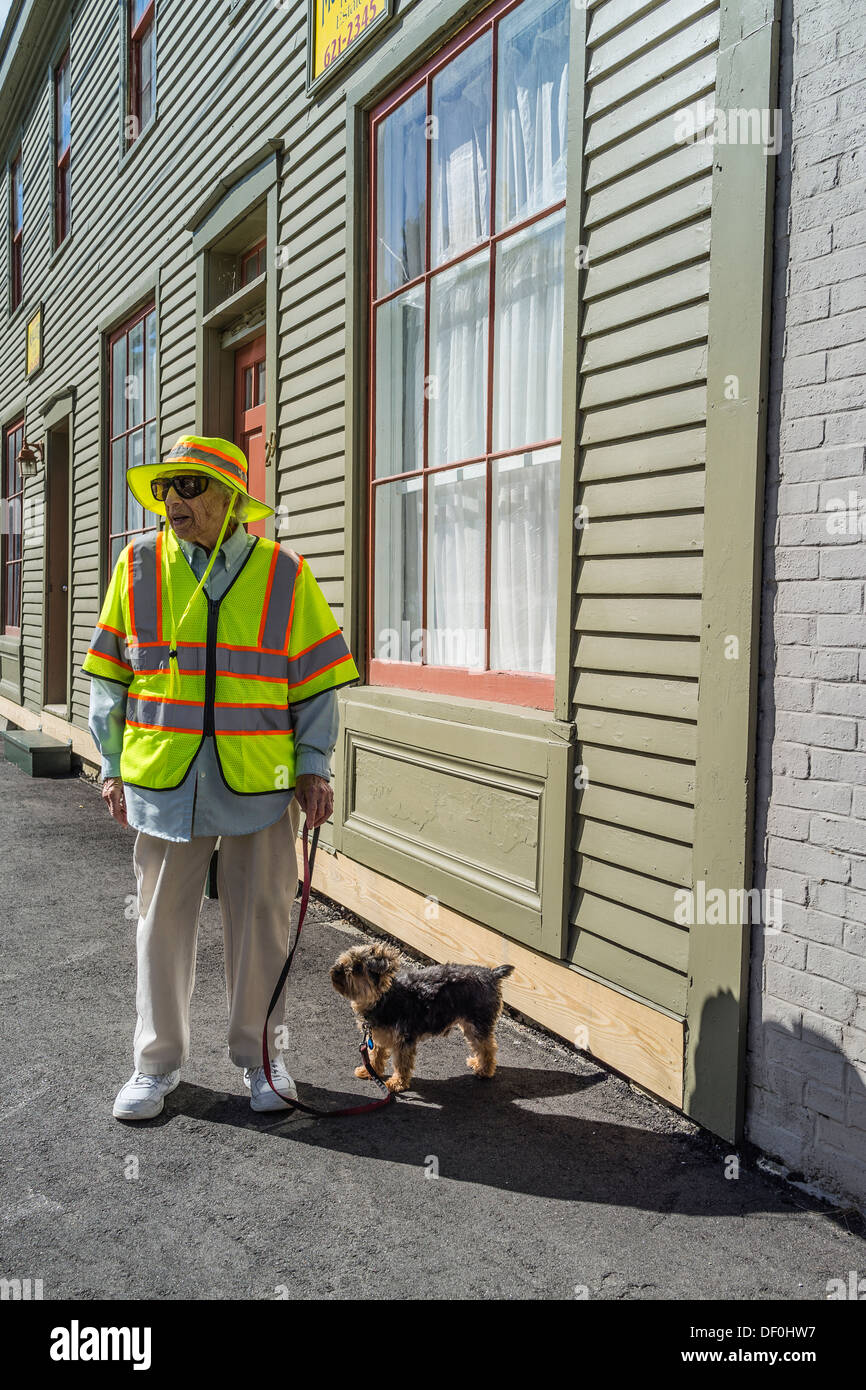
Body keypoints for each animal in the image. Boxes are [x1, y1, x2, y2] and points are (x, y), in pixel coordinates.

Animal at [328, 939, 511, 1089]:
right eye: (344, 959)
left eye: (358, 968)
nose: (336, 970)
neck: (383, 999)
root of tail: (492, 974)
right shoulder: (378, 1035)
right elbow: (375, 1055)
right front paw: (370, 1071)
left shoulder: (404, 1040)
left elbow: (401, 1064)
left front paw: (397, 1083)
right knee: (482, 1046)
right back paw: (476, 1063)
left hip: (477, 1022)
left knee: (487, 1047)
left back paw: (484, 1070)